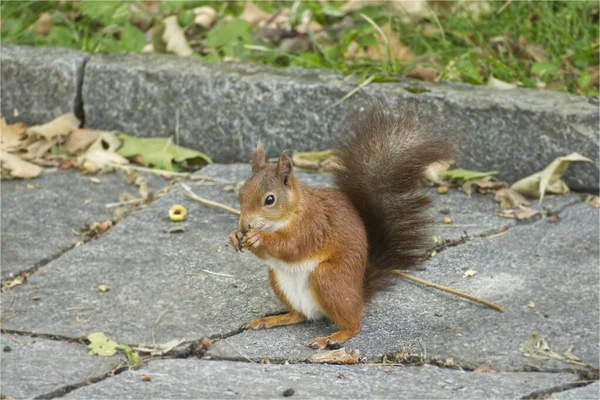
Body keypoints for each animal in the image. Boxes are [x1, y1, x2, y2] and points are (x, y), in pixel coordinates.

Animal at [229, 106, 454, 350]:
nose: (244, 224)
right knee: (299, 316)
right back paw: (271, 320)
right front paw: (234, 236)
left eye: (269, 199)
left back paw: (333, 337)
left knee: (353, 324)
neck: (287, 215)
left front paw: (258, 237)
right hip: (278, 279)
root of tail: (358, 295)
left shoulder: (313, 225)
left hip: (330, 279)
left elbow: (292, 246)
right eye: (241, 193)